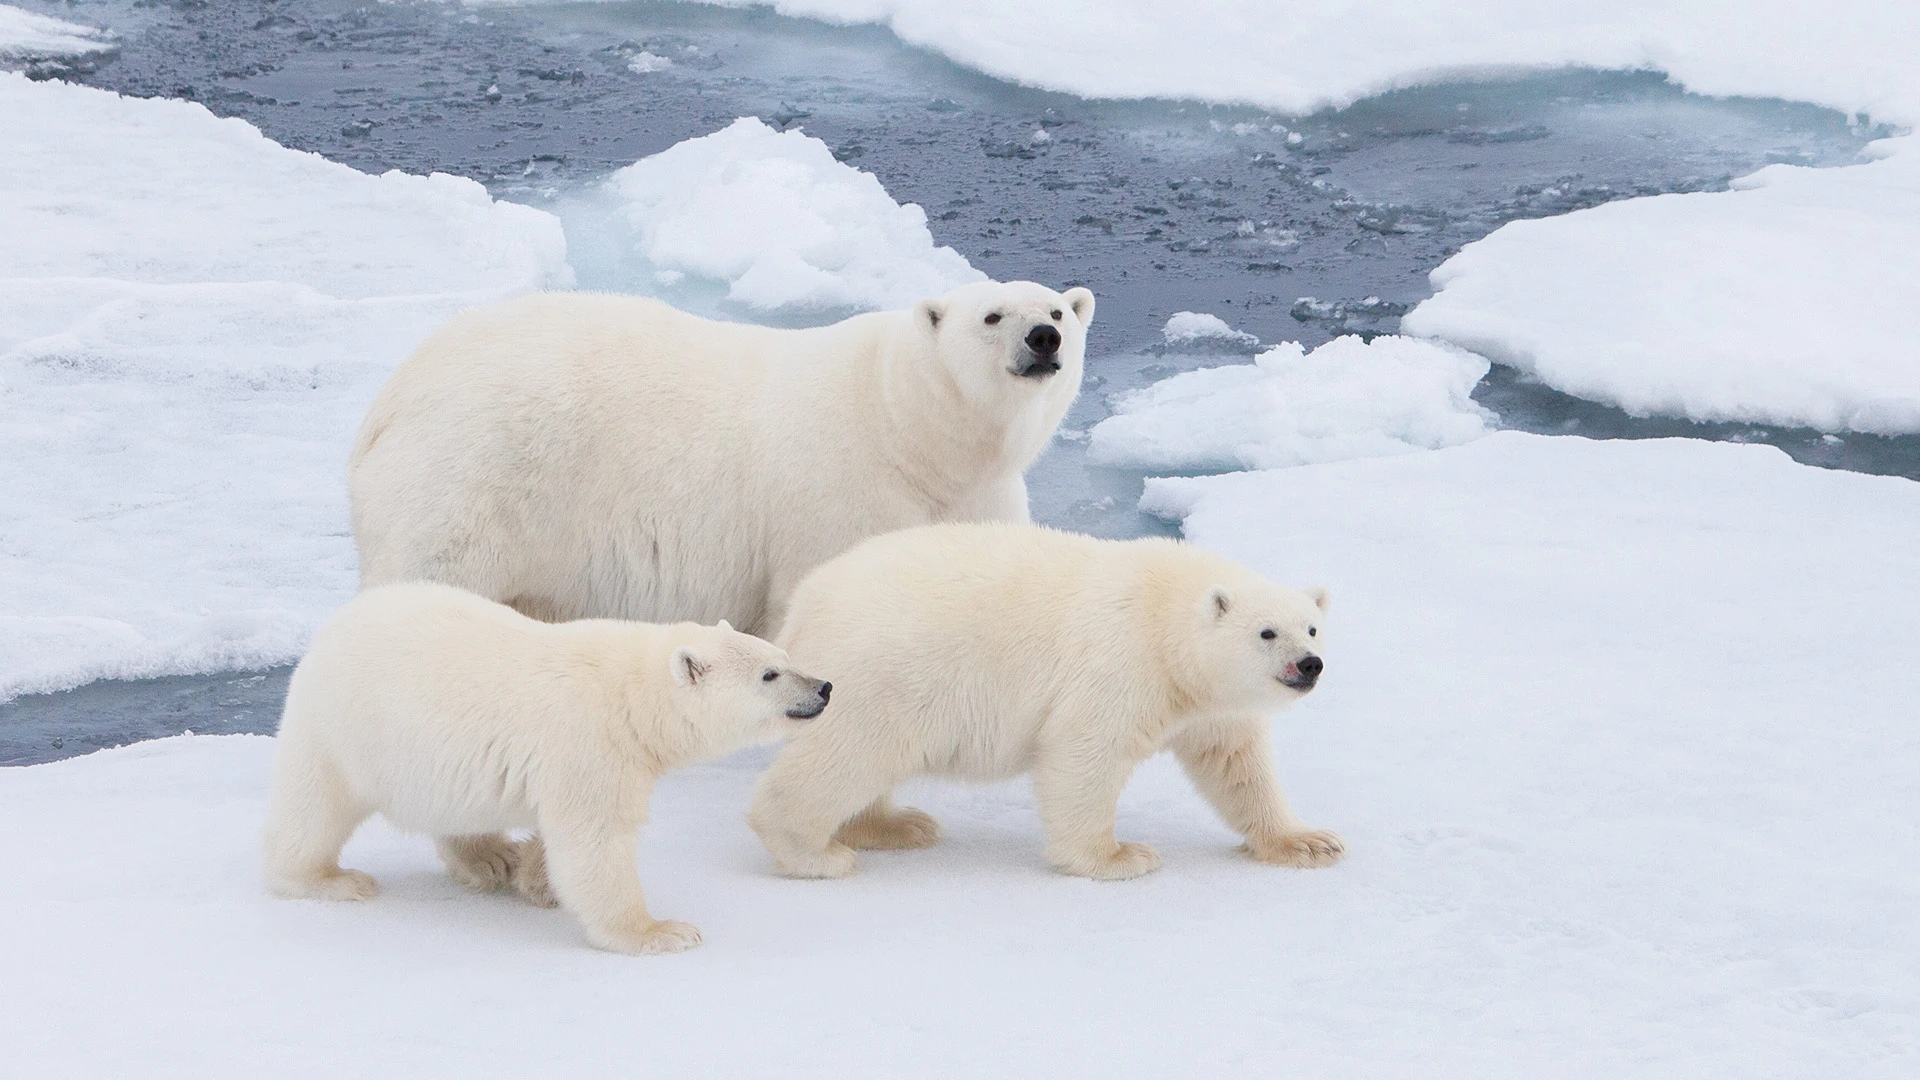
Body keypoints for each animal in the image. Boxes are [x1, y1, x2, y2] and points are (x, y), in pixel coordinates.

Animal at [261, 582, 831, 955]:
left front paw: (539, 883)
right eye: (770, 674)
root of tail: (333, 626)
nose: (824, 687)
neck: (632, 698)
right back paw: (331, 879)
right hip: (341, 729)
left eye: (783, 653)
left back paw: (490, 857)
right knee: (315, 807)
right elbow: (595, 839)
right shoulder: (590, 742)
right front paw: (661, 931)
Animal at [348, 280, 1095, 635]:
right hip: (472, 475)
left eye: (1058, 308)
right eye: (992, 315)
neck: (909, 429)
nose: (1043, 337)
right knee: (431, 571)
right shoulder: (835, 491)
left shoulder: (981, 497)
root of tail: (390, 398)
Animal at [748, 522, 1340, 881]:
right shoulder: (1120, 659)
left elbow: (1235, 765)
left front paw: (1308, 842)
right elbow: (1084, 751)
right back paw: (813, 851)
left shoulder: (1211, 705)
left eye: (1312, 627)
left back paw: (896, 825)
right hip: (881, 673)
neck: (1165, 613)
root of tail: (804, 605)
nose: (1309, 664)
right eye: (1266, 632)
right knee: (847, 754)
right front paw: (1119, 856)